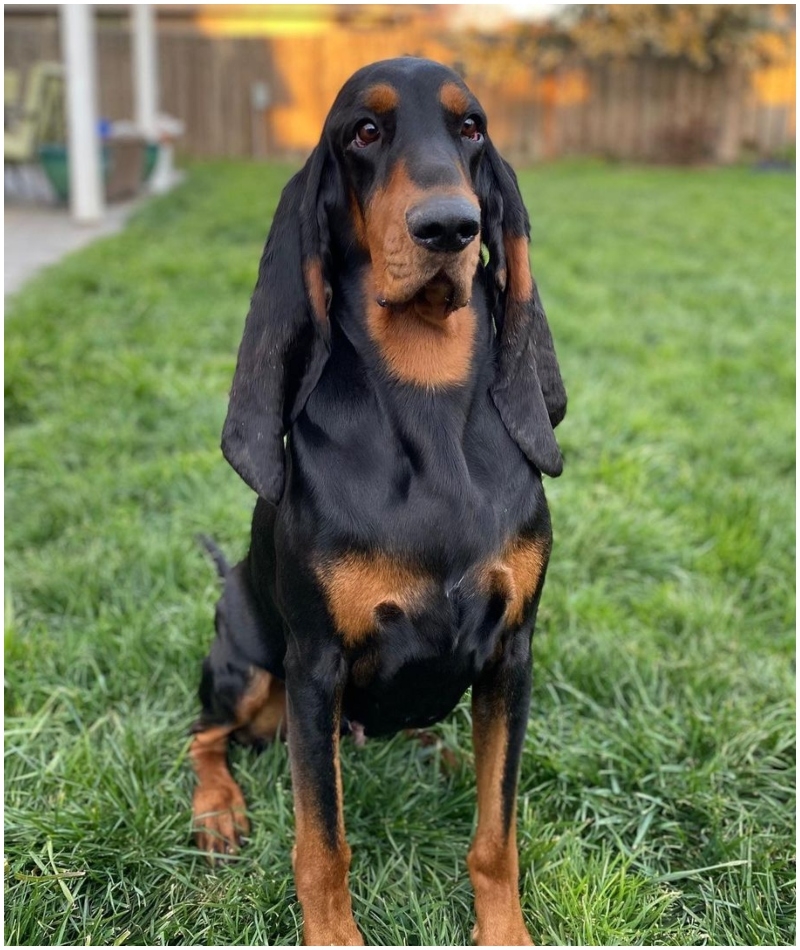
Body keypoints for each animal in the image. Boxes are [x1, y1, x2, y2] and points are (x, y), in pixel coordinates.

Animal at [192, 57, 568, 944]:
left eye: (471, 128)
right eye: (364, 131)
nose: (451, 228)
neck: (425, 397)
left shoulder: (513, 652)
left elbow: (496, 833)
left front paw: (505, 932)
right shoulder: (316, 667)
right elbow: (322, 844)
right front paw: (334, 936)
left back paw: (446, 752)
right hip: (250, 668)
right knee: (203, 734)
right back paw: (217, 810)